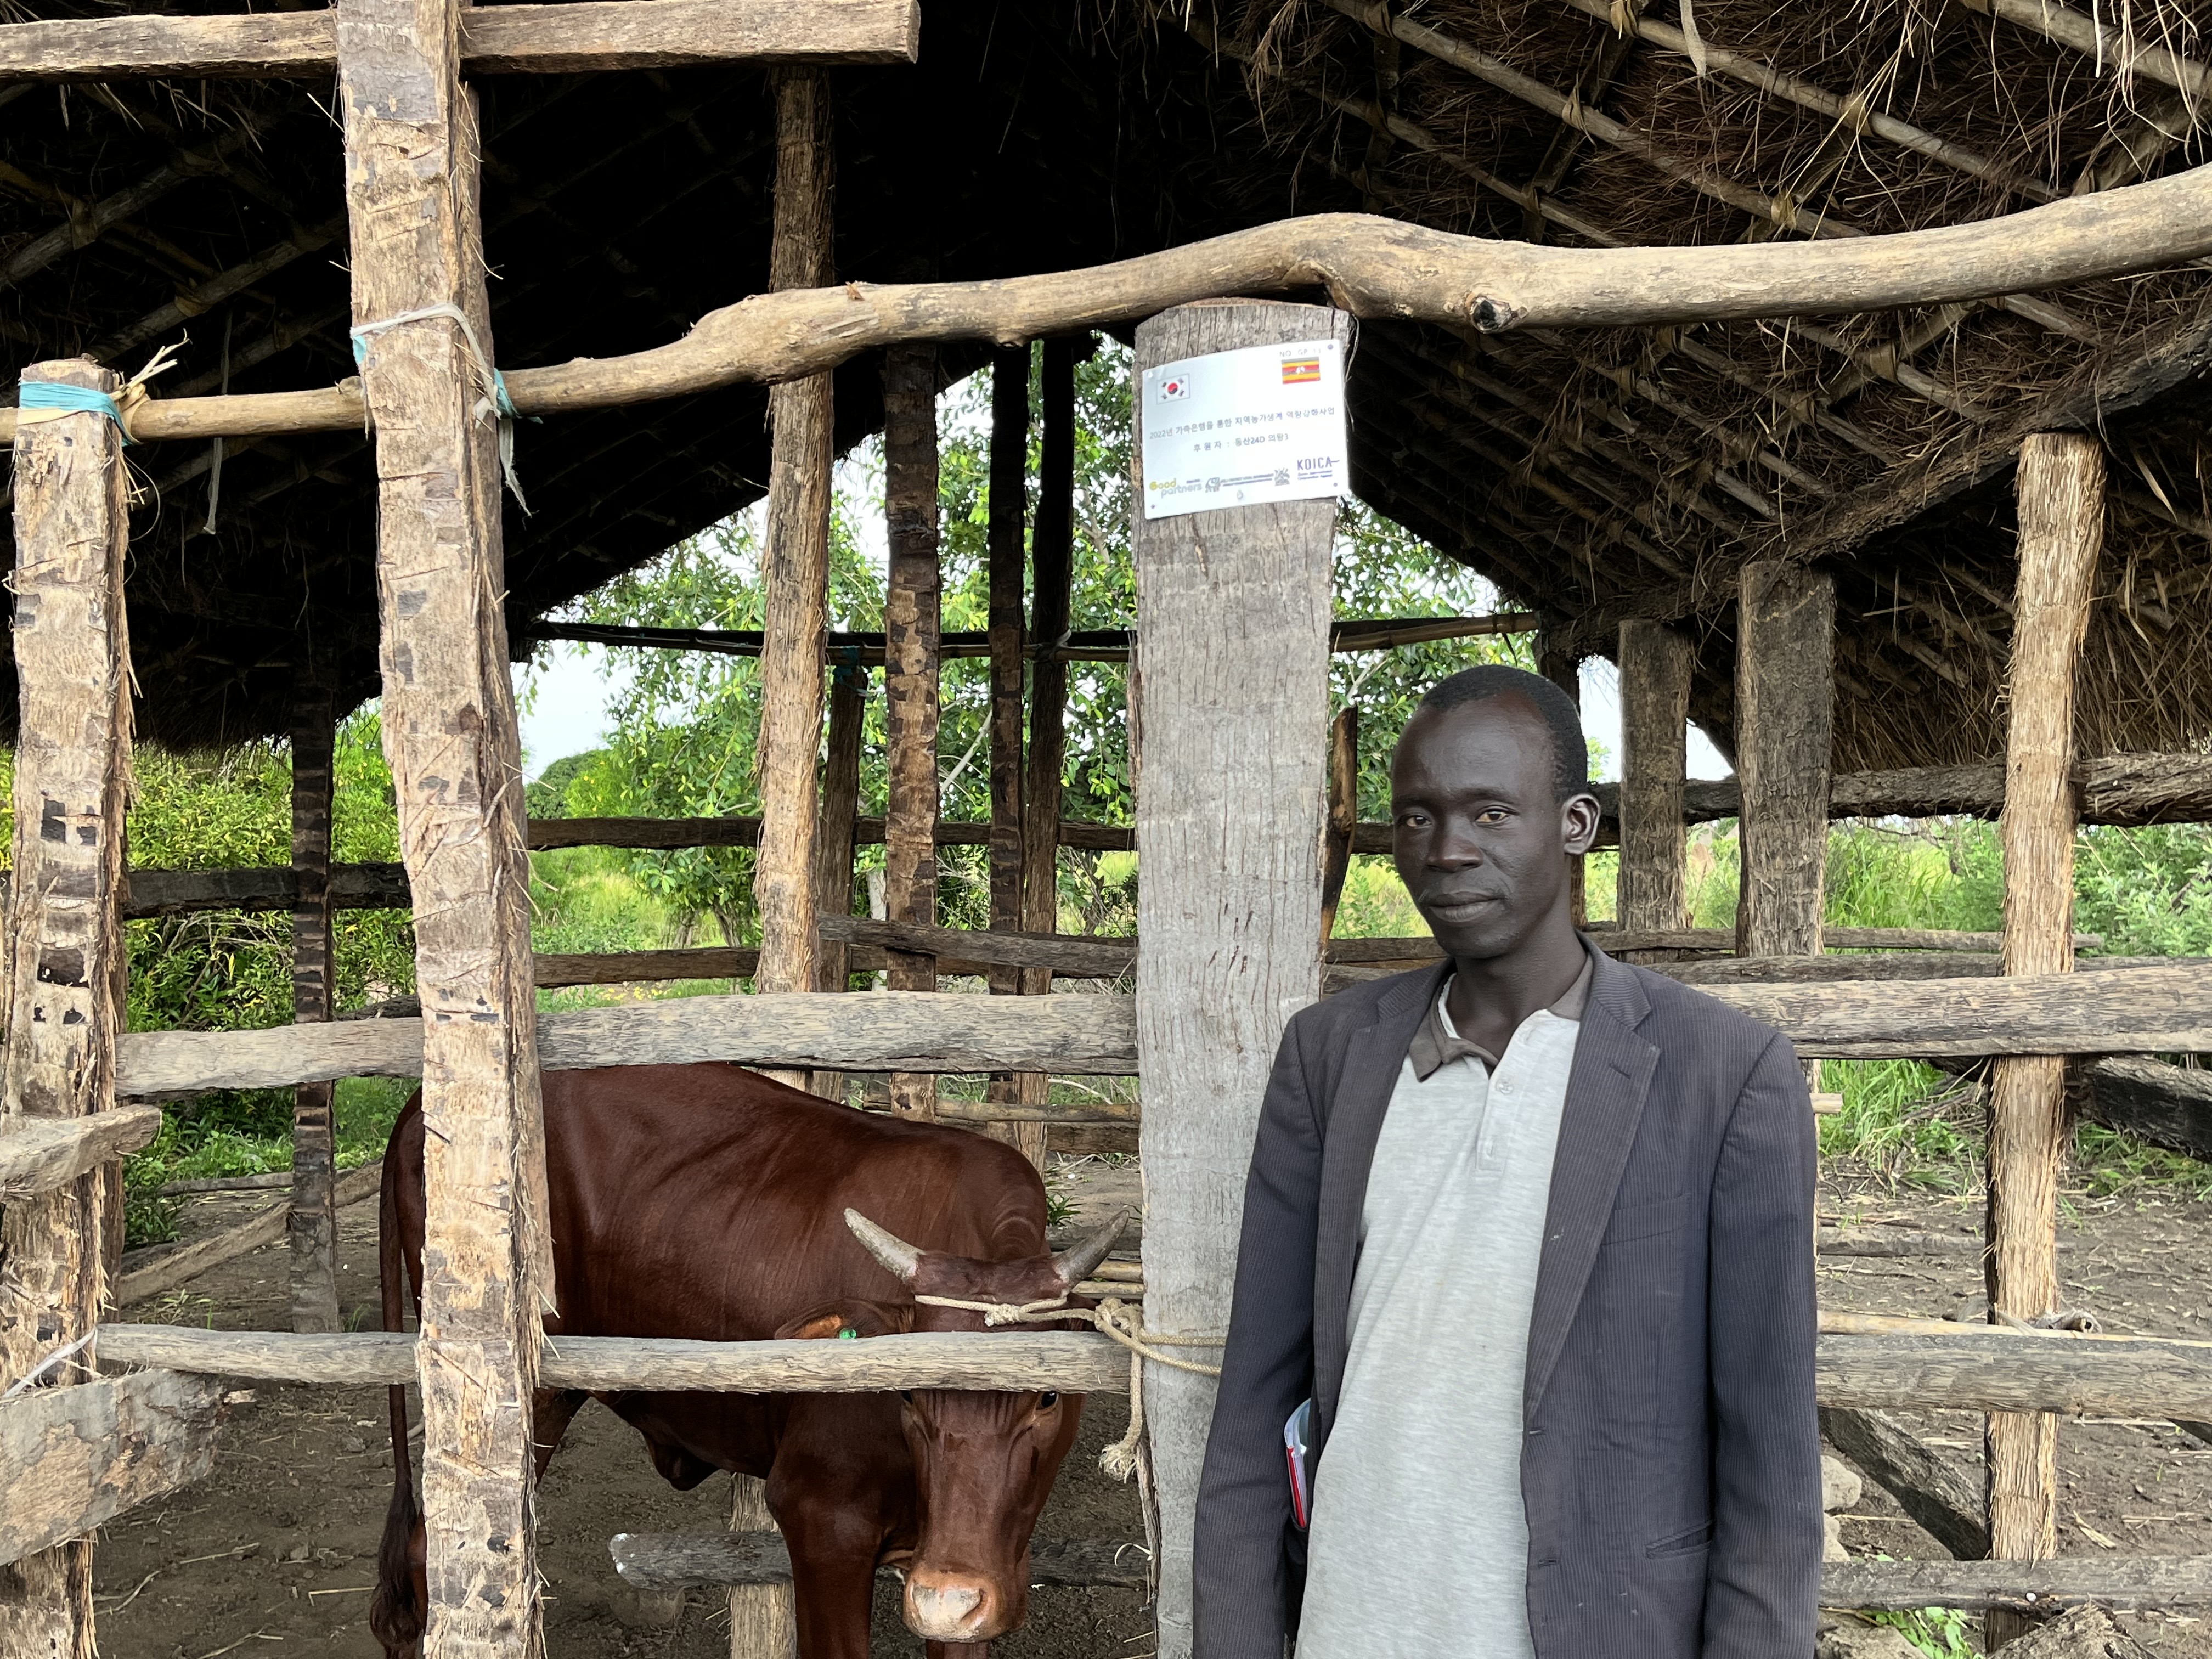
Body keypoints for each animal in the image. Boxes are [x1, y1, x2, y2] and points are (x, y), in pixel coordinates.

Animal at [369, 1061, 1128, 1659]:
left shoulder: (971, 1577)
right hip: (515, 1395)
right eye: (908, 1394)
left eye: (1048, 1396)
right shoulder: (822, 1518)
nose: (949, 1596)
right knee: (433, 1555)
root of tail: (420, 1099)